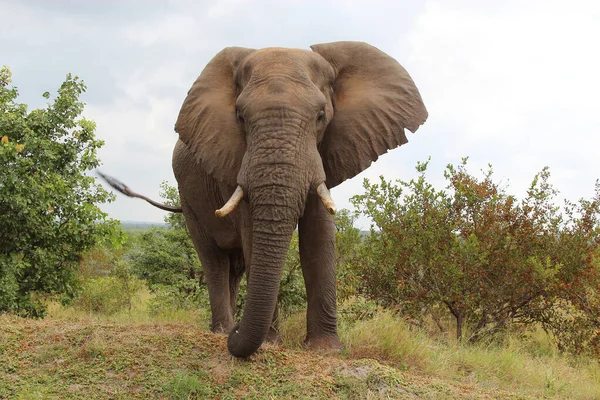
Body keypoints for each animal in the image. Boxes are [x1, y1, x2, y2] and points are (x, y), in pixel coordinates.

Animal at [99, 42, 426, 358]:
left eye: (321, 117)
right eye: (240, 117)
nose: (239, 333)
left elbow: (318, 238)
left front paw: (326, 349)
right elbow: (253, 233)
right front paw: (270, 343)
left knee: (234, 269)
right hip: (188, 197)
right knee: (214, 261)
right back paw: (222, 330)